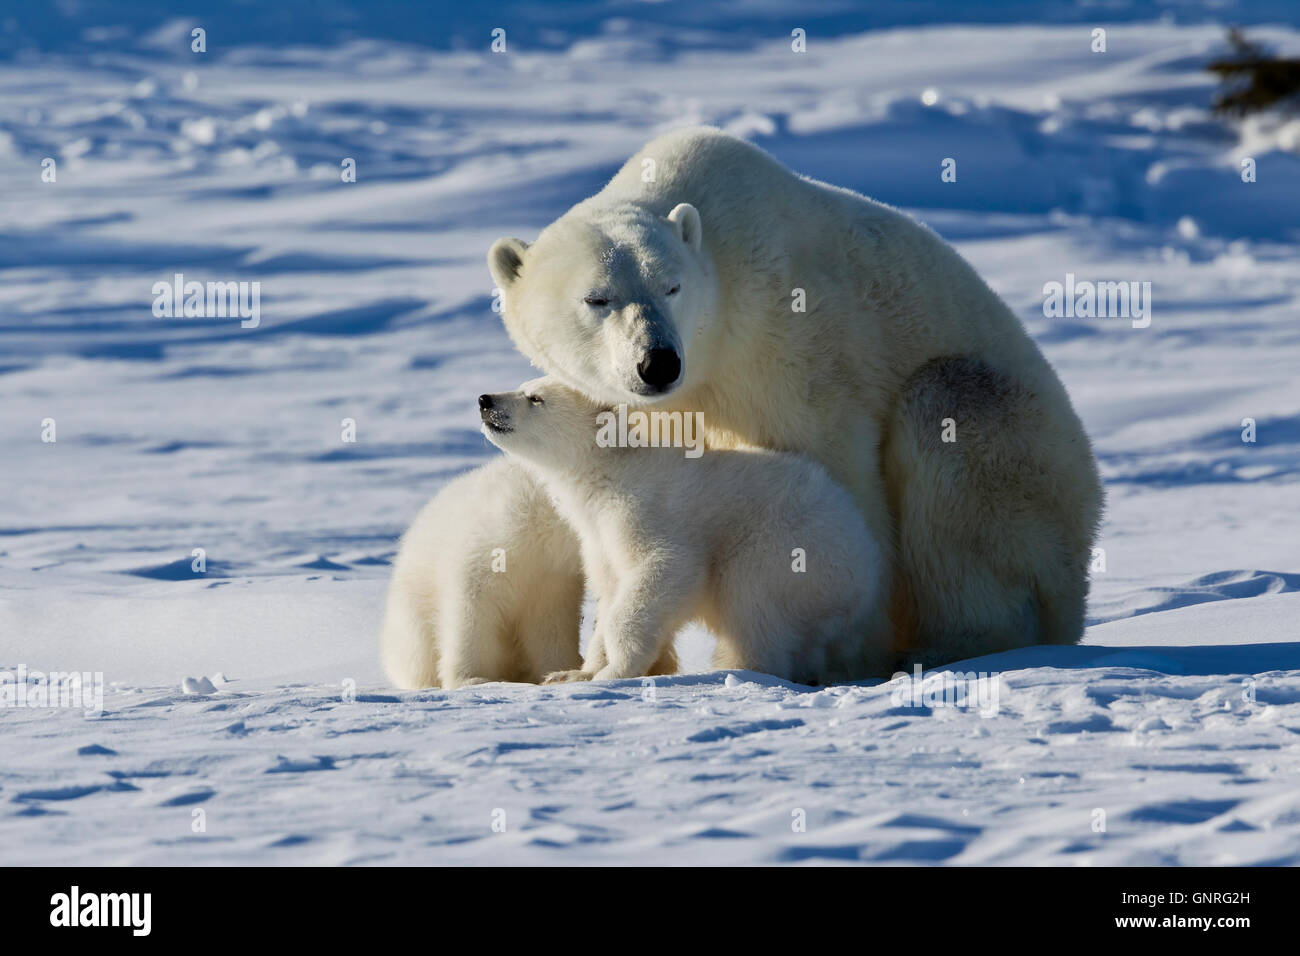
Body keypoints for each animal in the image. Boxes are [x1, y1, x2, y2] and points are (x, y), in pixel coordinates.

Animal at [377, 457, 579, 686]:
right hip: (411, 605)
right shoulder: (497, 542)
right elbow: (473, 605)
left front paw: (558, 671)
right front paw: (472, 678)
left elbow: (550, 620)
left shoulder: (552, 574)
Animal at [478, 377, 883, 686]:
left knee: (750, 596)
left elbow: (664, 569)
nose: (485, 400)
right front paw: (574, 673)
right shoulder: (597, 535)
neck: (609, 471)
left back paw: (738, 669)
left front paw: (615, 672)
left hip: (794, 547)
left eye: (535, 398)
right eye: (524, 387)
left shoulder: (644, 510)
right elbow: (609, 591)